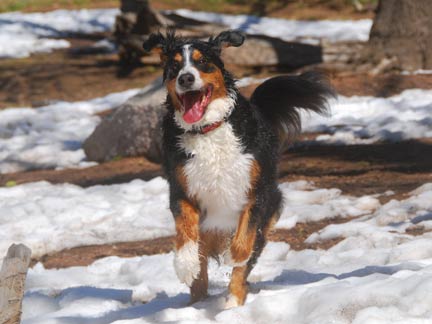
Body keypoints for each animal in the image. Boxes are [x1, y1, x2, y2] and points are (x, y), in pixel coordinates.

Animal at [143, 29, 336, 306]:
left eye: (202, 61)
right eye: (174, 65)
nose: (186, 78)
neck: (207, 130)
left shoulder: (256, 190)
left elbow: (243, 242)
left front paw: (232, 256)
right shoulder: (181, 188)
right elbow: (185, 231)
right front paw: (185, 265)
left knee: (243, 269)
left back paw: (232, 304)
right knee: (201, 277)